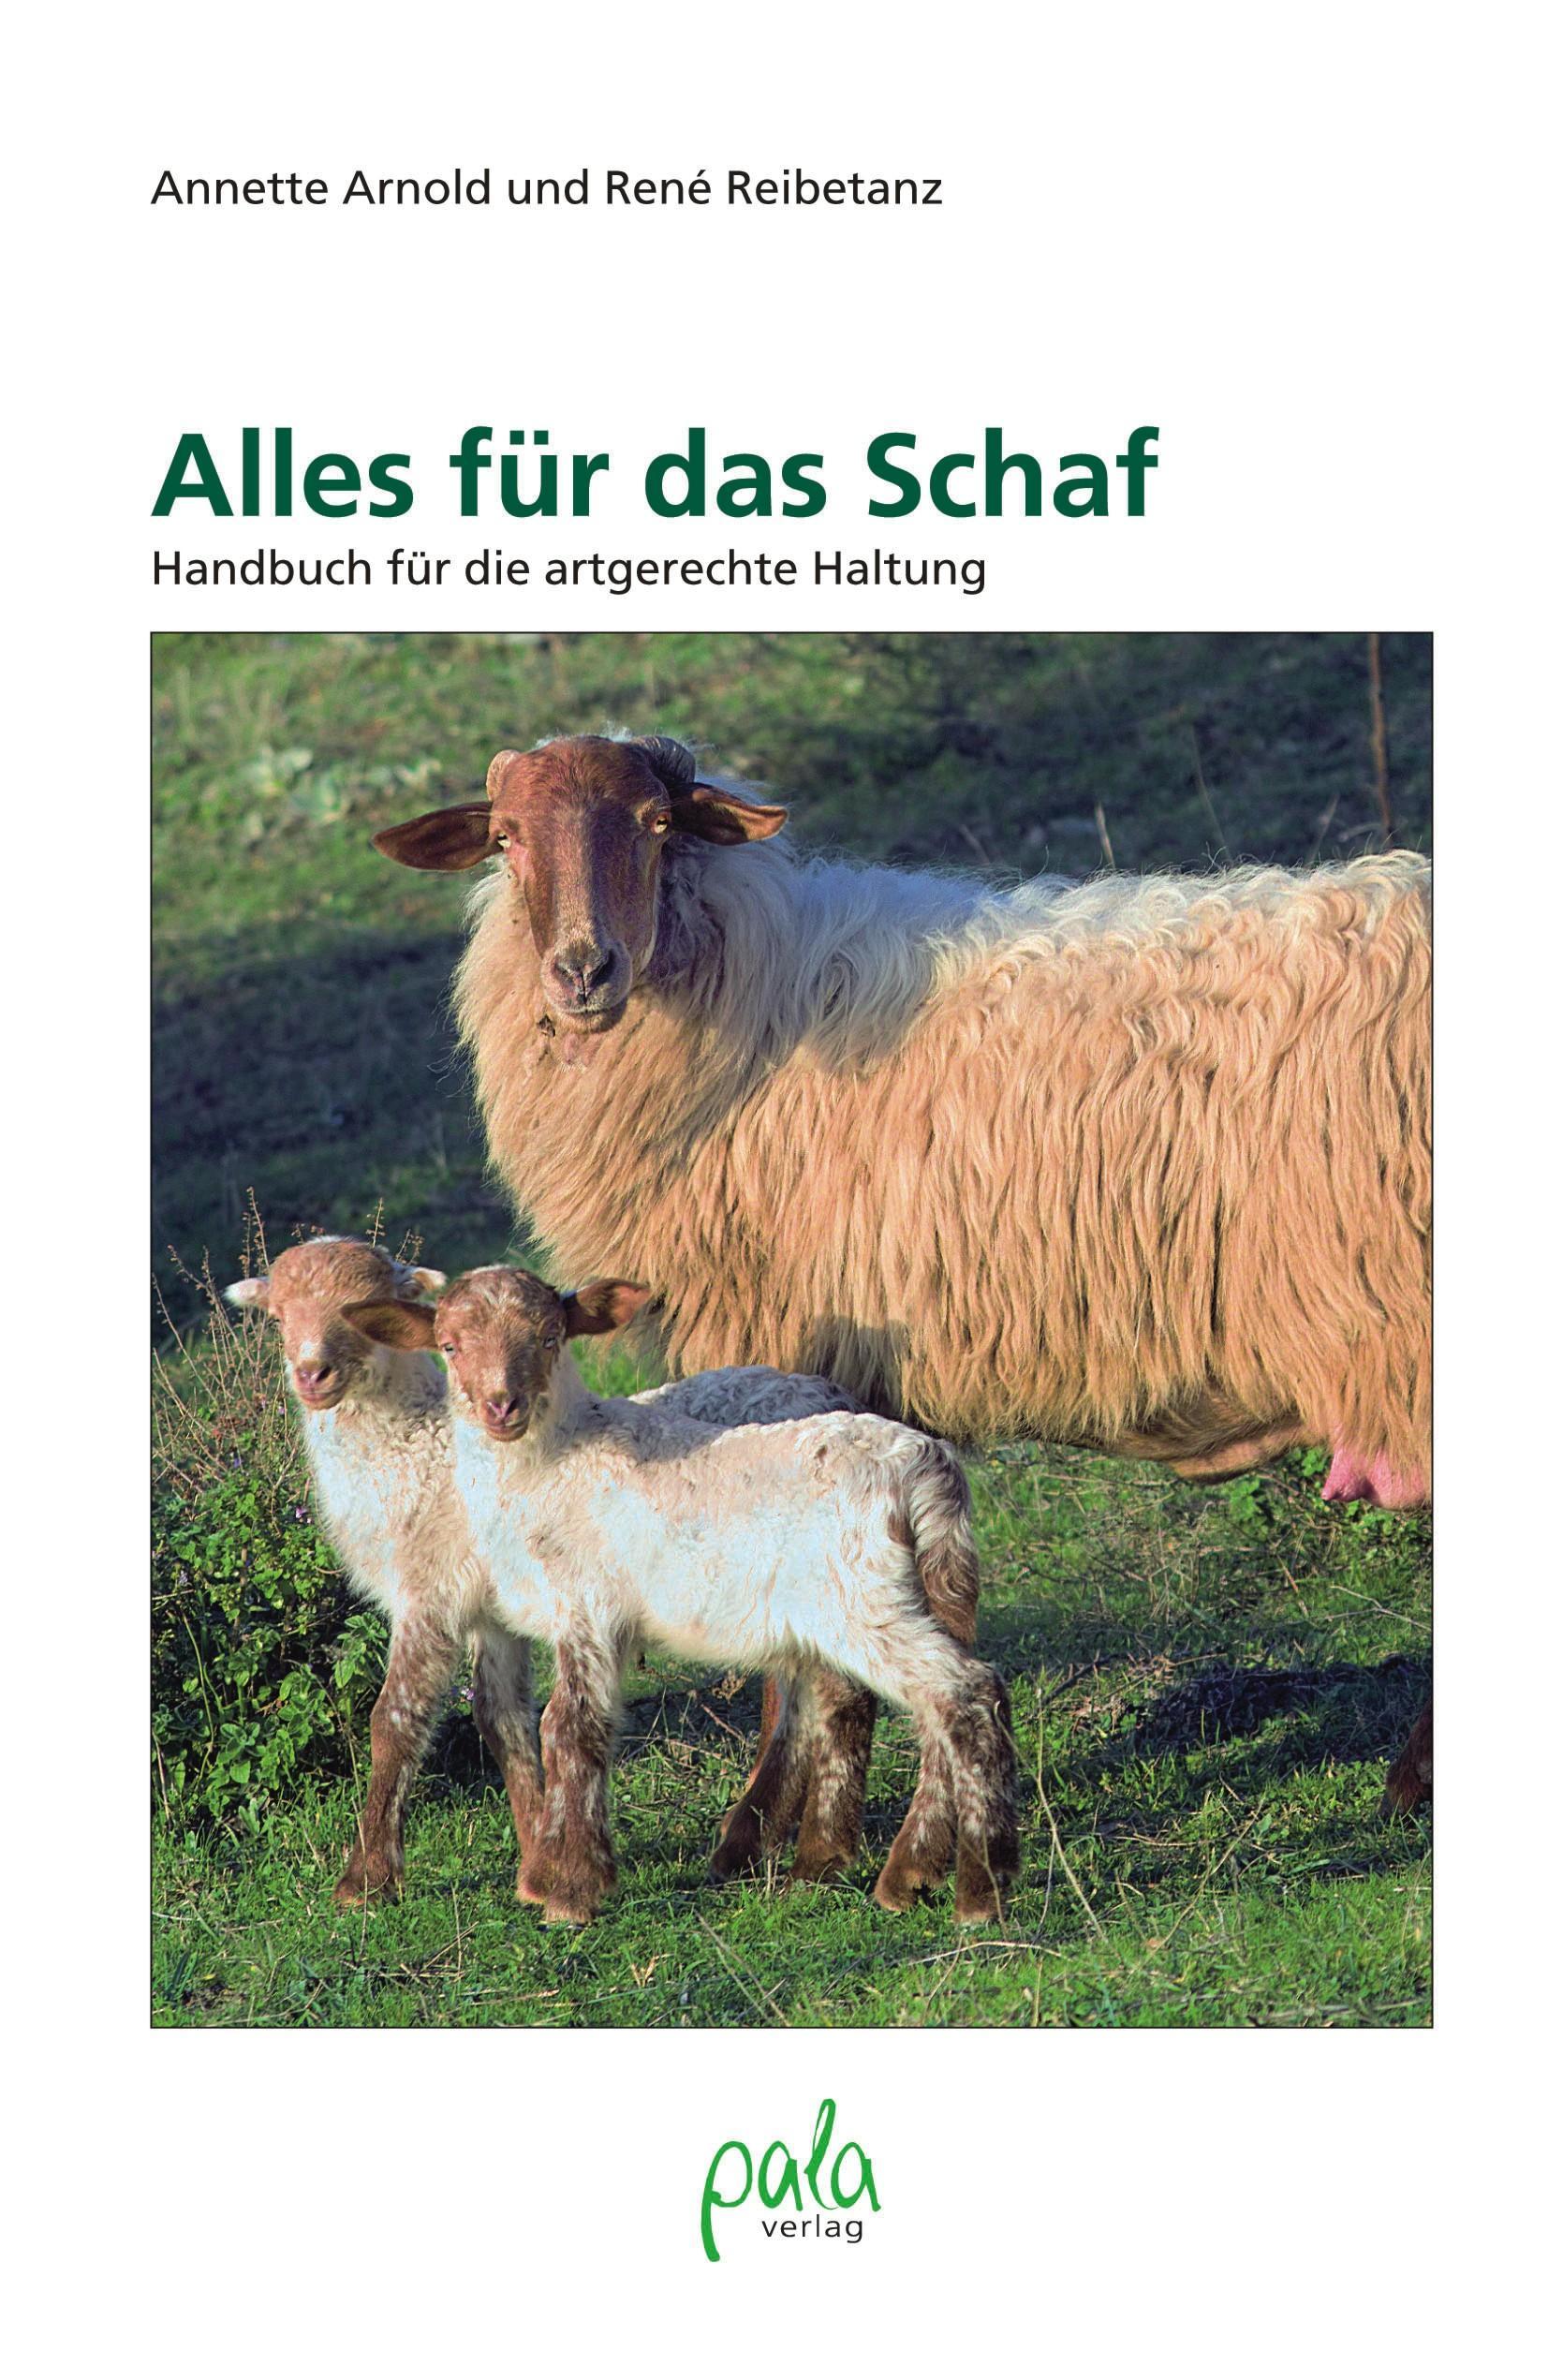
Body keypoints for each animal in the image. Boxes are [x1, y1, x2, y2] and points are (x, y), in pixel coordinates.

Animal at [228, 1233, 876, 1897]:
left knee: (831, 1694)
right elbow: (502, 1720)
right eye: (278, 1317)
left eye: (358, 1309)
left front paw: (367, 1878)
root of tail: (836, 1395)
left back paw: (807, 1851)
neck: (413, 1449)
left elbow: (396, 1720)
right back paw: (760, 1844)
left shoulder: (433, 1590)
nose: (312, 1374)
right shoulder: (492, 1613)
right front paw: (537, 1849)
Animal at [349, 1264, 1019, 1927]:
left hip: (864, 1600)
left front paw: (567, 1892)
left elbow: (568, 1728)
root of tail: (926, 1469)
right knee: (922, 1706)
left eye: (548, 1338)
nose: (500, 1406)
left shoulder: (588, 1605)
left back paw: (978, 1890)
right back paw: (904, 1873)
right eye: (450, 1346)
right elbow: (567, 1727)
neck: (554, 1461)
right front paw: (576, 1873)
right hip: (922, 1591)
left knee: (964, 1693)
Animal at [375, 734, 1432, 1804]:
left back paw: (1407, 1784)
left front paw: (771, 1810)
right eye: (507, 837)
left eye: (658, 822)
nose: (582, 970)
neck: (757, 1005)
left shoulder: (777, 1360)